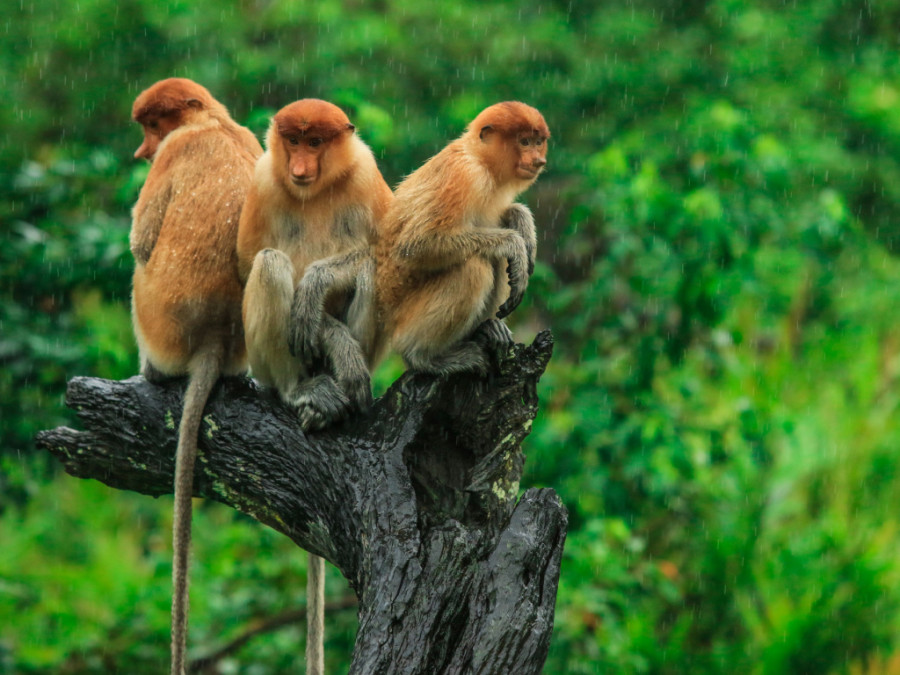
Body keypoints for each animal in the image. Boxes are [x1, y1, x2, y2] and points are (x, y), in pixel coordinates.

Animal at [374, 101, 548, 374]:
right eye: (525, 142)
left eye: (539, 142)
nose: (539, 160)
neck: (480, 159)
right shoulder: (463, 175)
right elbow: (416, 244)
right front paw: (516, 244)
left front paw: (522, 222)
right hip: (405, 319)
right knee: (474, 266)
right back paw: (422, 357)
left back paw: (489, 327)